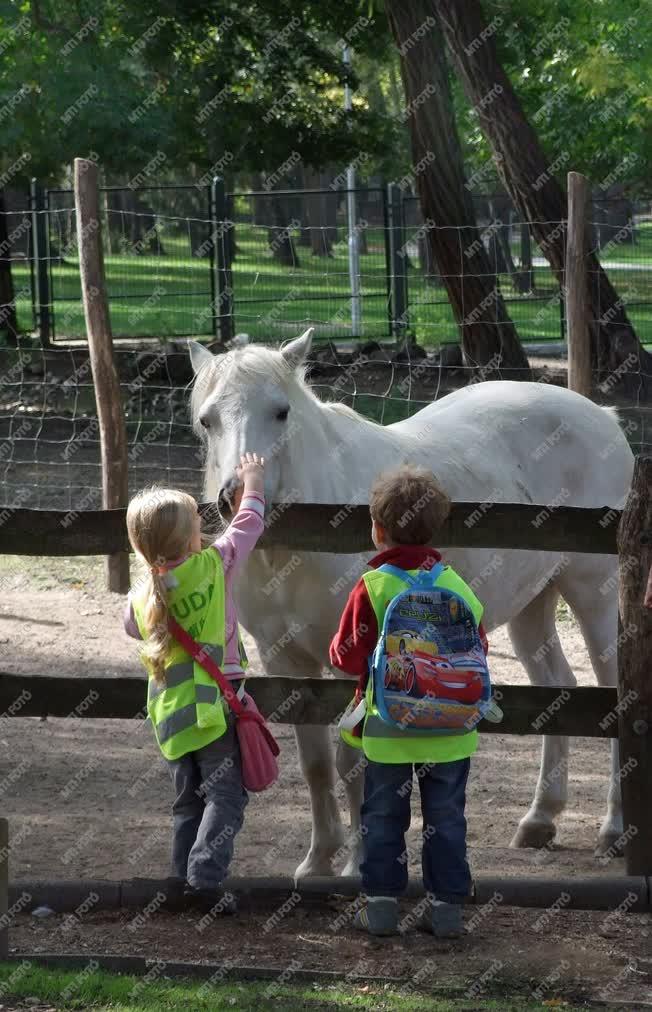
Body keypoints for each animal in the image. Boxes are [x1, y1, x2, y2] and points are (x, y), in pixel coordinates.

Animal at [188, 329, 631, 878]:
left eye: (281, 411)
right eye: (207, 419)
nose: (235, 496)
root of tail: (603, 417)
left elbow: (351, 760)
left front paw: (358, 867)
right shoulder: (285, 659)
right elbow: (316, 763)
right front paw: (319, 862)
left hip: (595, 594)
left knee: (610, 694)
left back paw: (613, 830)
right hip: (533, 603)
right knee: (559, 691)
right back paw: (540, 820)